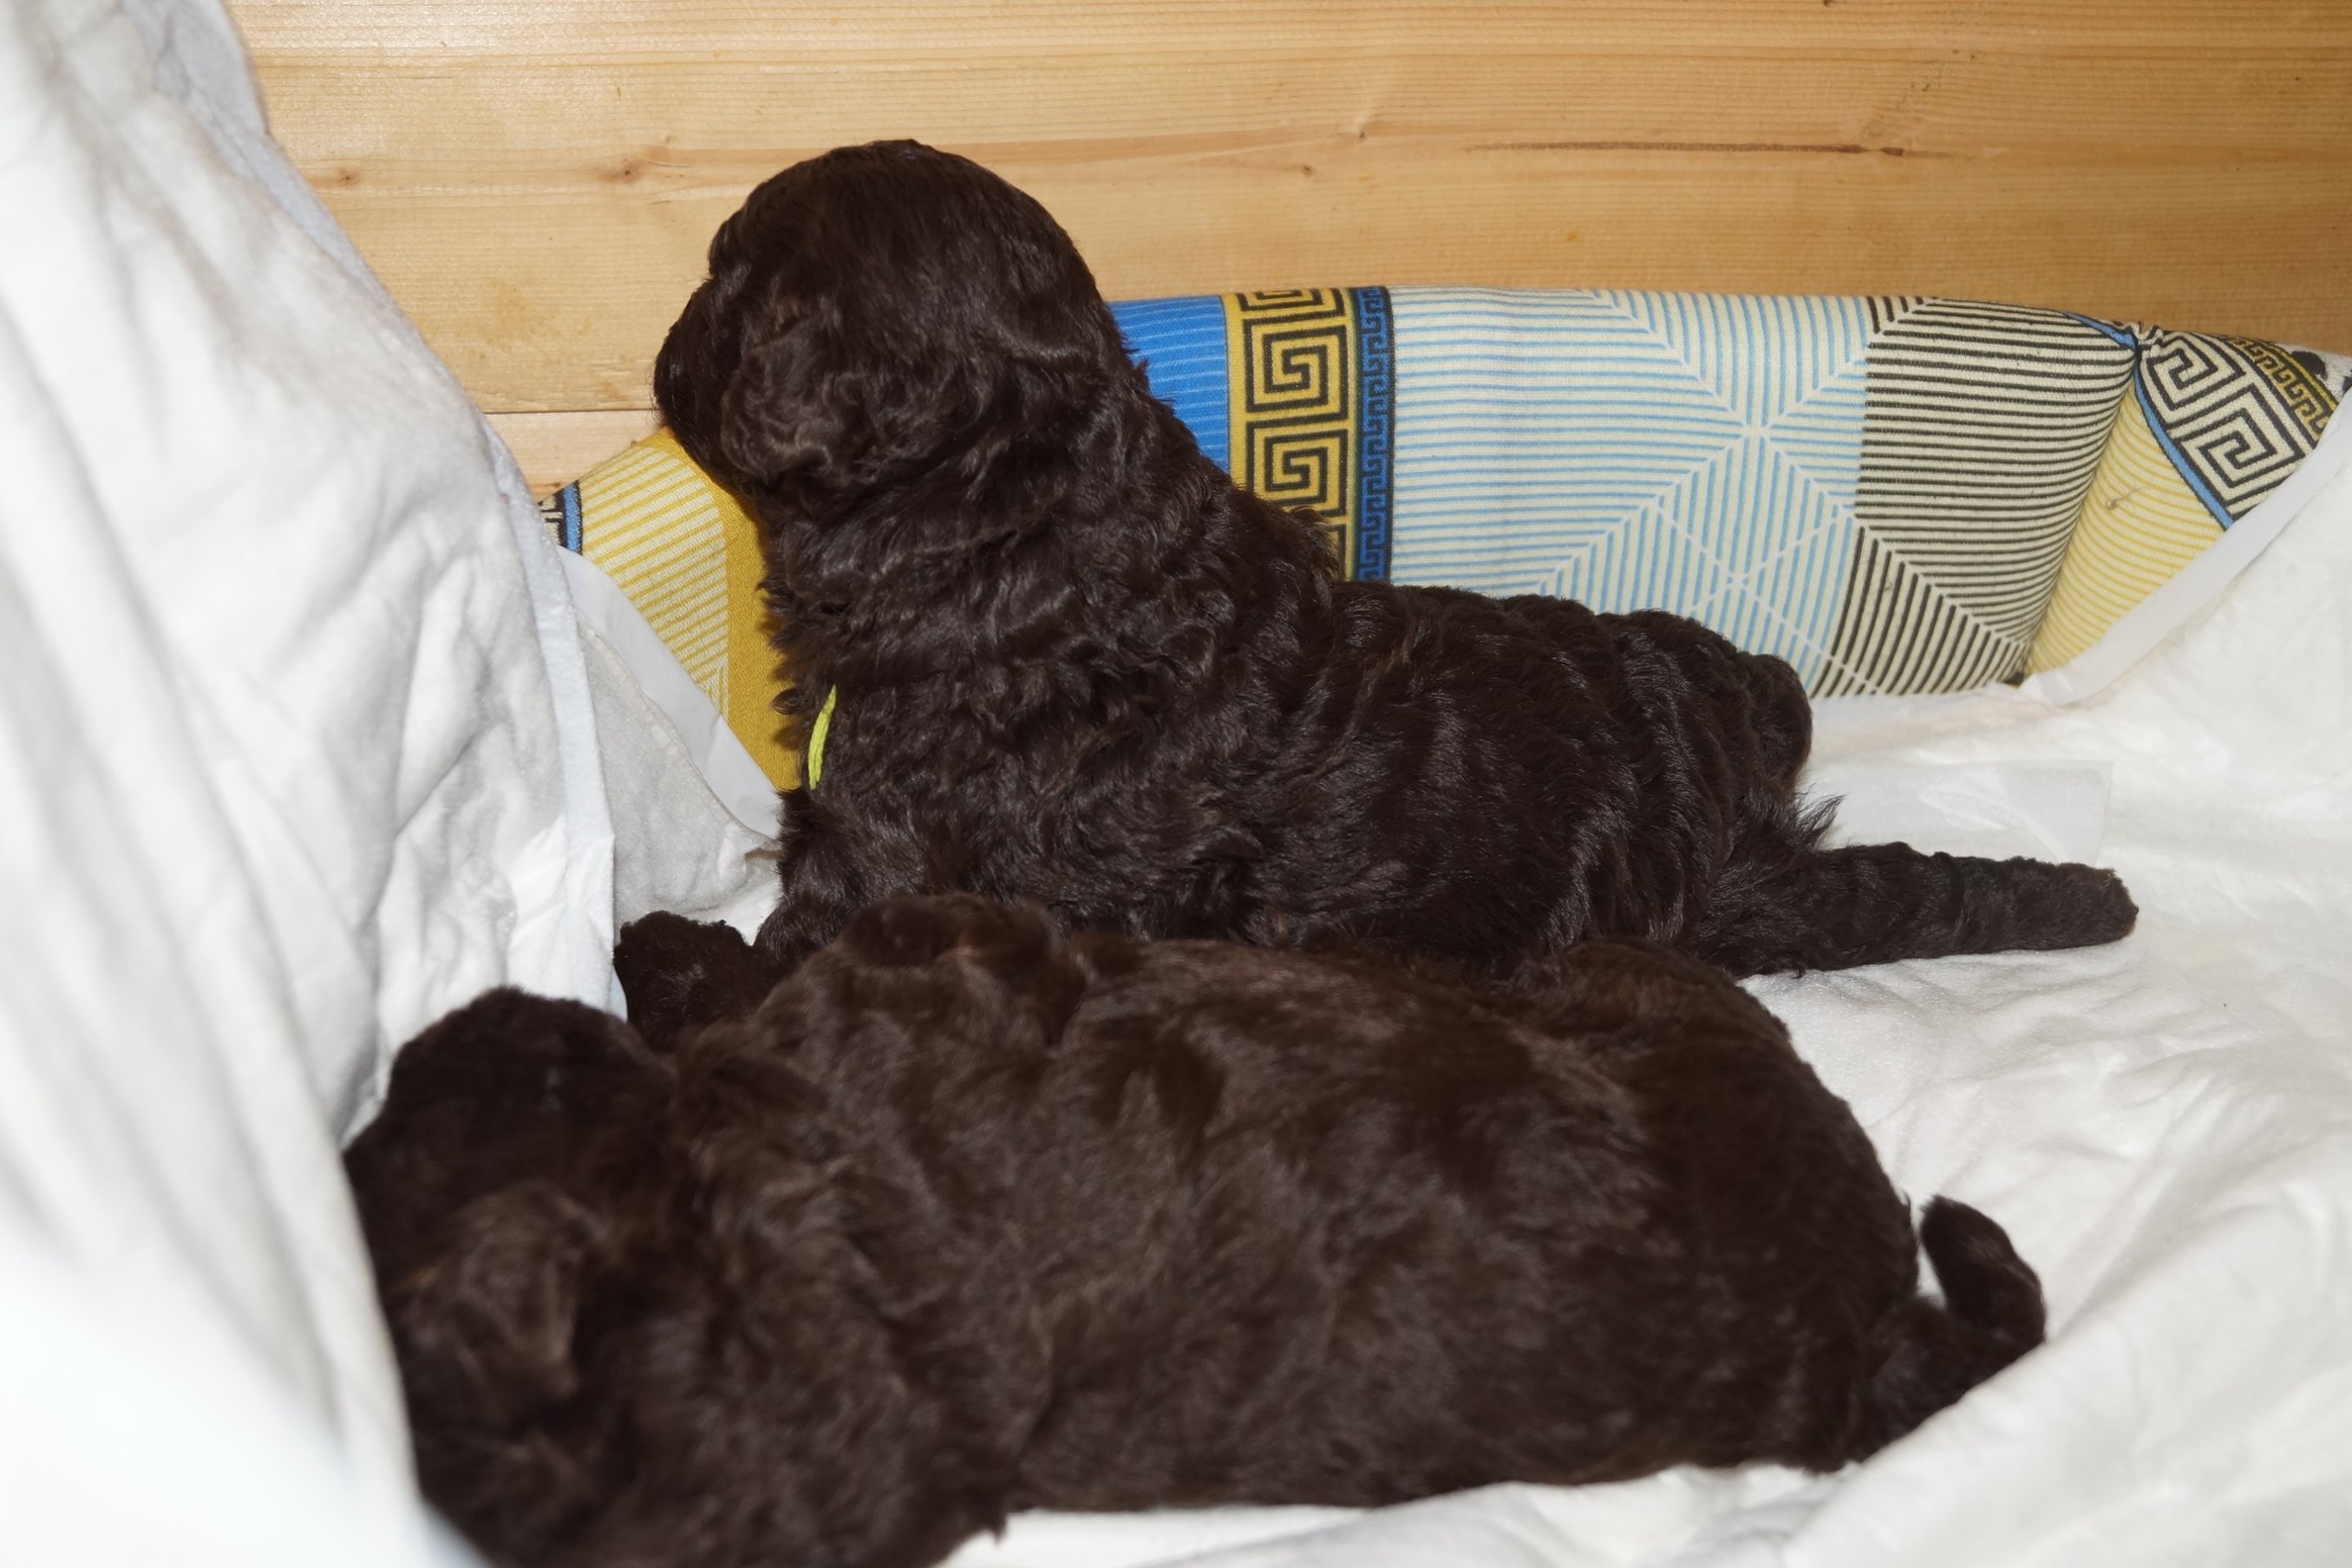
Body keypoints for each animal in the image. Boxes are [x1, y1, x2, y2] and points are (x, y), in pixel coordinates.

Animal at [650, 140, 2136, 983]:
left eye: (727, 281)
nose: (667, 347)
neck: (1019, 508)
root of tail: (1711, 801)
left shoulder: (874, 846)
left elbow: (783, 946)